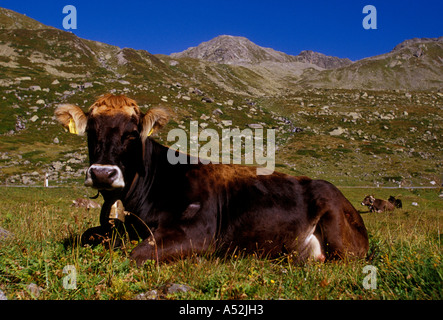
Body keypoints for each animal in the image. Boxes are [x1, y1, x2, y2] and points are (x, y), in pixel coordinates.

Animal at [53, 94, 370, 266]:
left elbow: (138, 254)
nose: (102, 173)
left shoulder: (199, 231)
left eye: (132, 133)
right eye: (91, 131)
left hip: (342, 241)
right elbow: (87, 235)